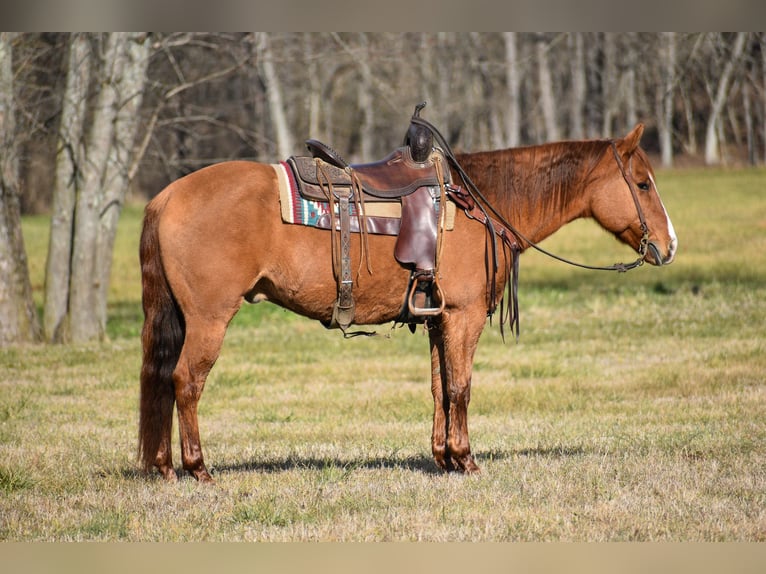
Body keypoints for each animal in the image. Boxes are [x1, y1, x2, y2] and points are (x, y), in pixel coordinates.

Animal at [136, 124, 680, 484]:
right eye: (643, 183)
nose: (669, 245)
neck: (481, 203)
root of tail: (166, 196)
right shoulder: (463, 317)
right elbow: (461, 388)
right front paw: (466, 458)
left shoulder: (439, 319)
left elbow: (440, 389)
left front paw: (442, 458)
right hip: (209, 319)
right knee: (185, 382)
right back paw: (198, 469)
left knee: (163, 380)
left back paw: (164, 466)